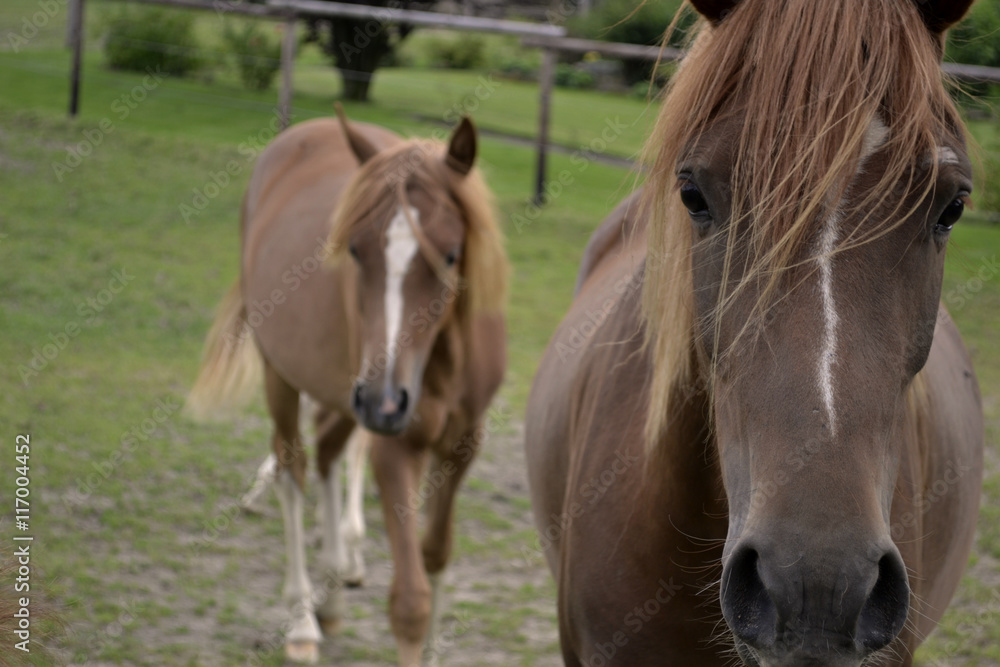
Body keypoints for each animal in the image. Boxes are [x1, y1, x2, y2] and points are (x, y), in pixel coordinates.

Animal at [188, 108, 508, 665]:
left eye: (450, 255)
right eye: (356, 251)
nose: (385, 402)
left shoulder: (464, 444)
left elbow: (436, 556)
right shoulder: (394, 448)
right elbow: (410, 600)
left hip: (342, 398)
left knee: (327, 454)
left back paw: (334, 590)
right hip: (285, 376)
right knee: (293, 465)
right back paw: (302, 621)